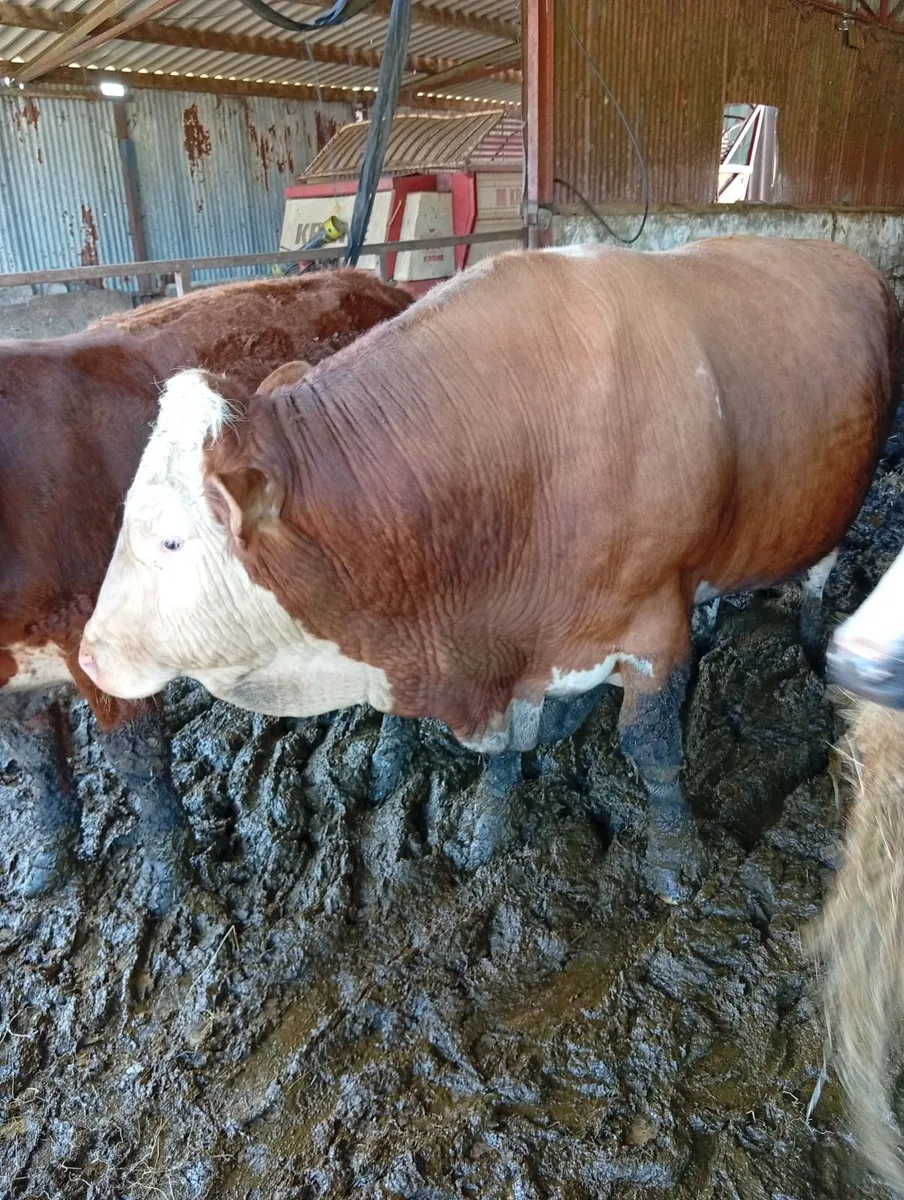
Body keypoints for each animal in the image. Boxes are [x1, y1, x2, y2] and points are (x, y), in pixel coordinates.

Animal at [0, 270, 411, 912]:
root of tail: (377, 283)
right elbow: (38, 763)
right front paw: (46, 865)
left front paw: (167, 882)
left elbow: (137, 759)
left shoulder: (94, 627)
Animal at [79, 236, 900, 905]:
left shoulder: (649, 632)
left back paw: (808, 645)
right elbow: (508, 755)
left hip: (834, 511)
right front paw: (487, 827)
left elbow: (654, 752)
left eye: (171, 541)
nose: (89, 652)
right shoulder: (514, 646)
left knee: (817, 582)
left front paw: (673, 858)